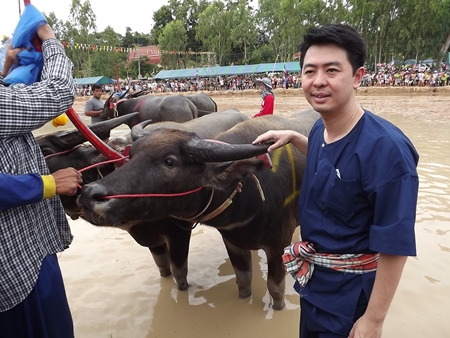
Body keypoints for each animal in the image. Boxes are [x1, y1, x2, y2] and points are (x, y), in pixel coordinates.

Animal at [77, 109, 320, 310]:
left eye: (170, 161)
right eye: (131, 155)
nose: (90, 194)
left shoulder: (278, 245)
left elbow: (275, 289)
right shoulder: (233, 241)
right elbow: (243, 281)